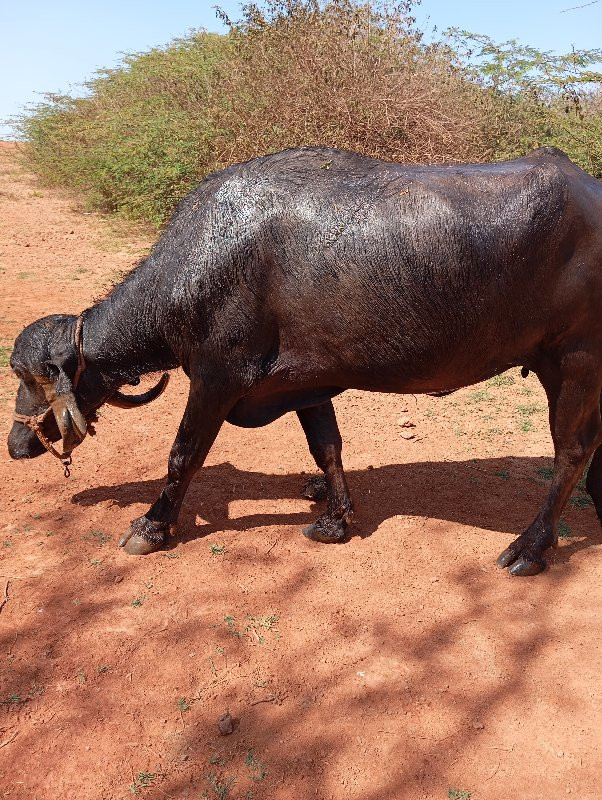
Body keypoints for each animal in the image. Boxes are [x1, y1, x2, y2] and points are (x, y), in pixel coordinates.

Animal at [5, 145, 600, 576]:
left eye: (30, 378)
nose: (15, 445)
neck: (203, 265)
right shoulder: (308, 386)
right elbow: (327, 449)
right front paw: (336, 518)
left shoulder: (217, 378)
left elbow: (183, 455)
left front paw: (151, 526)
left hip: (575, 360)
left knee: (572, 450)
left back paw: (531, 547)